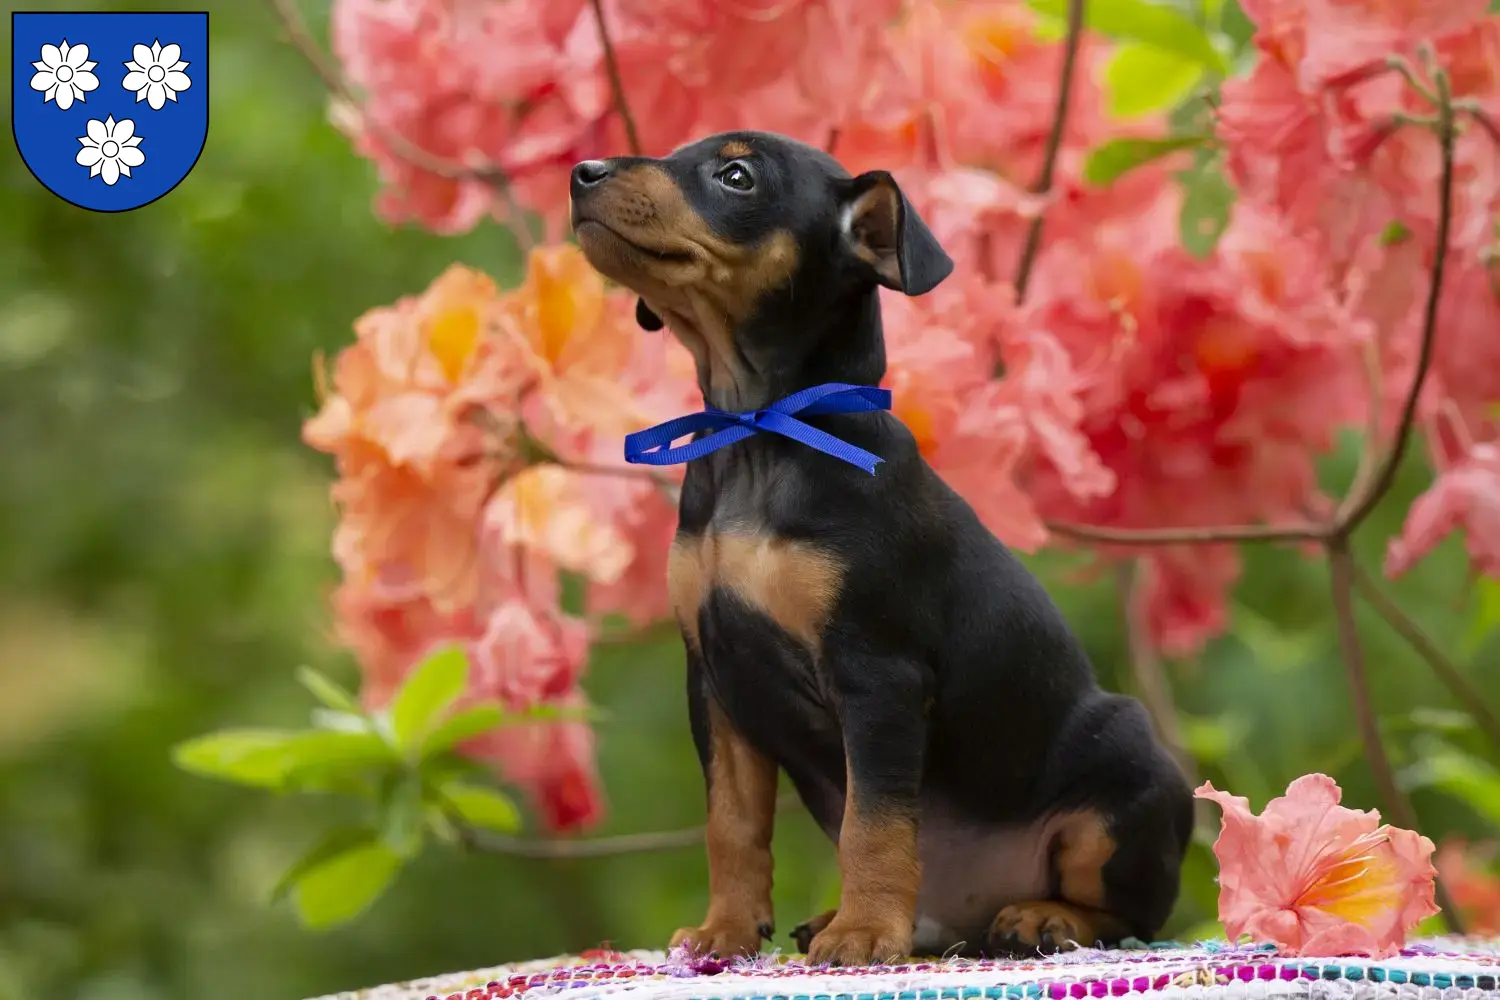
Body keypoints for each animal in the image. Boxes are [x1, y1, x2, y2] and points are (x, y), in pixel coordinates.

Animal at [567, 132, 1188, 971]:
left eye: (737, 175)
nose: (582, 174)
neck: (761, 436)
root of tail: (965, 912)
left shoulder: (877, 674)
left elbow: (876, 819)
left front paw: (864, 934)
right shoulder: (717, 683)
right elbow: (731, 823)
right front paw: (726, 930)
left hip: (1128, 767)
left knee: (1133, 912)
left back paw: (1038, 917)